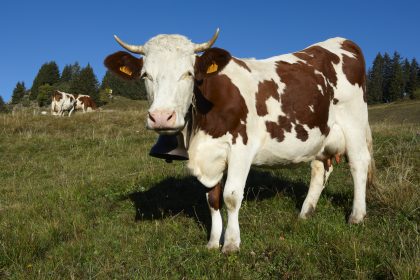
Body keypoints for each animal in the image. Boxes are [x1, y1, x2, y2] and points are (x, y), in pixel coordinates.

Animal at [104, 29, 374, 254]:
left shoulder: (241, 148)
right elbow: (212, 199)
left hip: (354, 123)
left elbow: (231, 196)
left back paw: (357, 216)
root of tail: (341, 41)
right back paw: (305, 213)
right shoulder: (210, 156)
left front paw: (231, 244)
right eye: (145, 75)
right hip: (320, 136)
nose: (161, 117)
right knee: (320, 169)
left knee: (359, 164)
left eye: (189, 73)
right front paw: (213, 242)